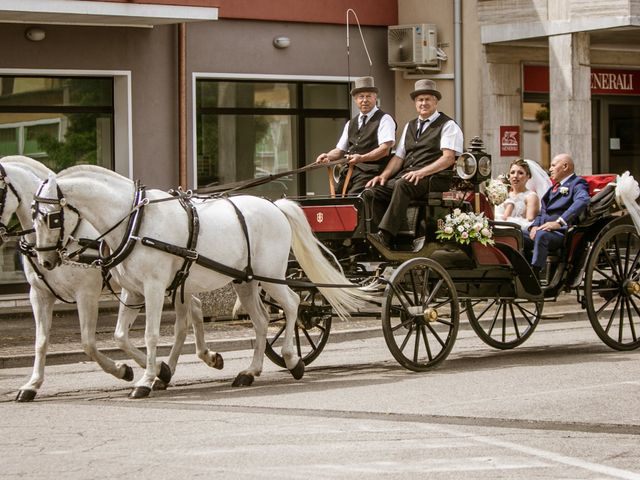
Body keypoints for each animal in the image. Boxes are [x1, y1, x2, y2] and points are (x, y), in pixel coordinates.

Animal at [0, 158, 222, 402]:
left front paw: (128, 370)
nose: (46, 261)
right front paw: (32, 384)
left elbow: (88, 343)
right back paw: (197, 360)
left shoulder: (86, 293)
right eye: (34, 215)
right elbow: (41, 341)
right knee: (194, 311)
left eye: (52, 219)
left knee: (184, 321)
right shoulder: (40, 295)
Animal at [32, 165, 368, 398]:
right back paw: (250, 371)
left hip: (271, 275)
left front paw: (146, 380)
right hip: (246, 280)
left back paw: (292, 359)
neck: (135, 223)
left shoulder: (154, 289)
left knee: (293, 305)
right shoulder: (133, 291)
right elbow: (119, 336)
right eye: (33, 216)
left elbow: (151, 335)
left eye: (52, 218)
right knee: (262, 321)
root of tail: (275, 206)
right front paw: (157, 371)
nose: (45, 262)